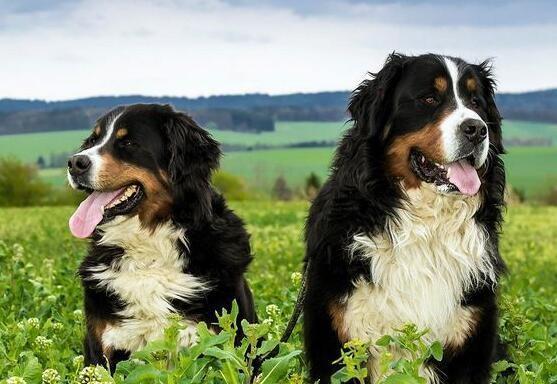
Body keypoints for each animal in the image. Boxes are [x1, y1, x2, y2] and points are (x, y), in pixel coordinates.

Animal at [302, 52, 506, 382]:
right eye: (428, 98)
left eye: (476, 102)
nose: (477, 130)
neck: (426, 227)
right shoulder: (336, 340)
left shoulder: (471, 338)